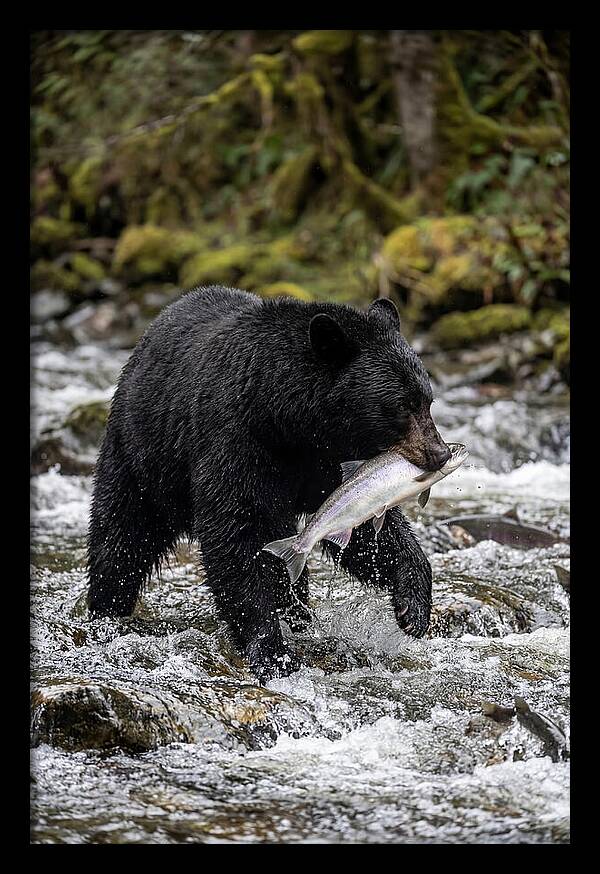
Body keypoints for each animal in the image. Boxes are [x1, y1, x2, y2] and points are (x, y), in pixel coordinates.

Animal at [88, 286, 450, 683]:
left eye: (428, 401)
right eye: (401, 406)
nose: (441, 453)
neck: (288, 420)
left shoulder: (329, 463)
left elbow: (363, 525)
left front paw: (413, 607)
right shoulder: (238, 441)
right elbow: (236, 534)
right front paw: (272, 651)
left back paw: (298, 613)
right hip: (143, 455)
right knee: (122, 535)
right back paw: (106, 609)